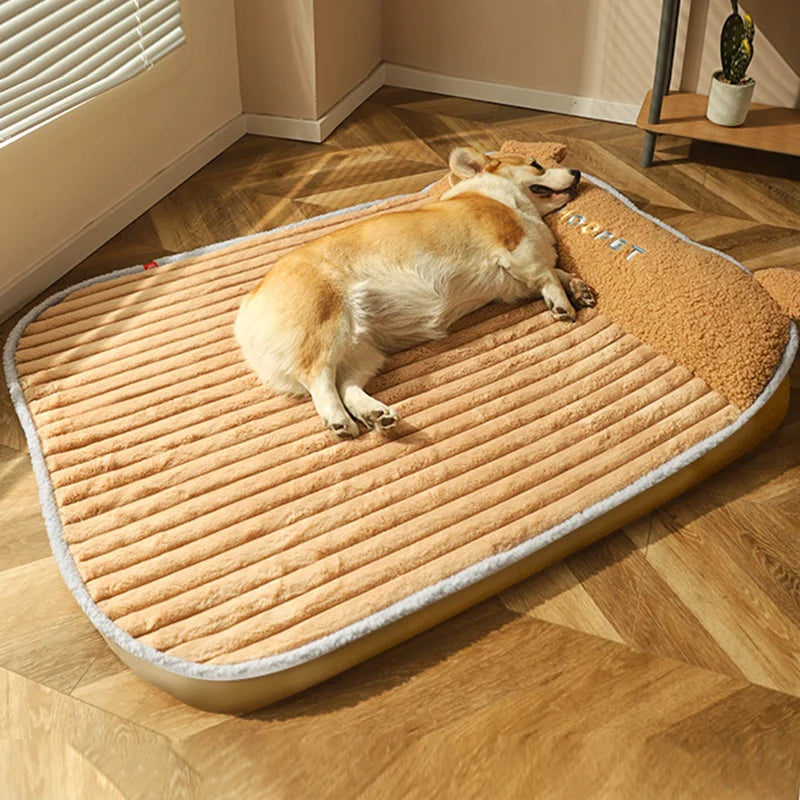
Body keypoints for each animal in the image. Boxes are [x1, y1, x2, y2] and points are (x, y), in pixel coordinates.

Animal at [234, 147, 592, 440]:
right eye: (536, 165)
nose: (577, 171)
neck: (499, 197)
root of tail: (248, 309)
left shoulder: (513, 283)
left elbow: (557, 272)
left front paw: (578, 287)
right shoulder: (516, 249)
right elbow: (547, 274)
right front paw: (563, 304)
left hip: (364, 350)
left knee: (345, 385)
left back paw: (375, 414)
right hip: (329, 325)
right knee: (317, 377)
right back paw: (339, 420)